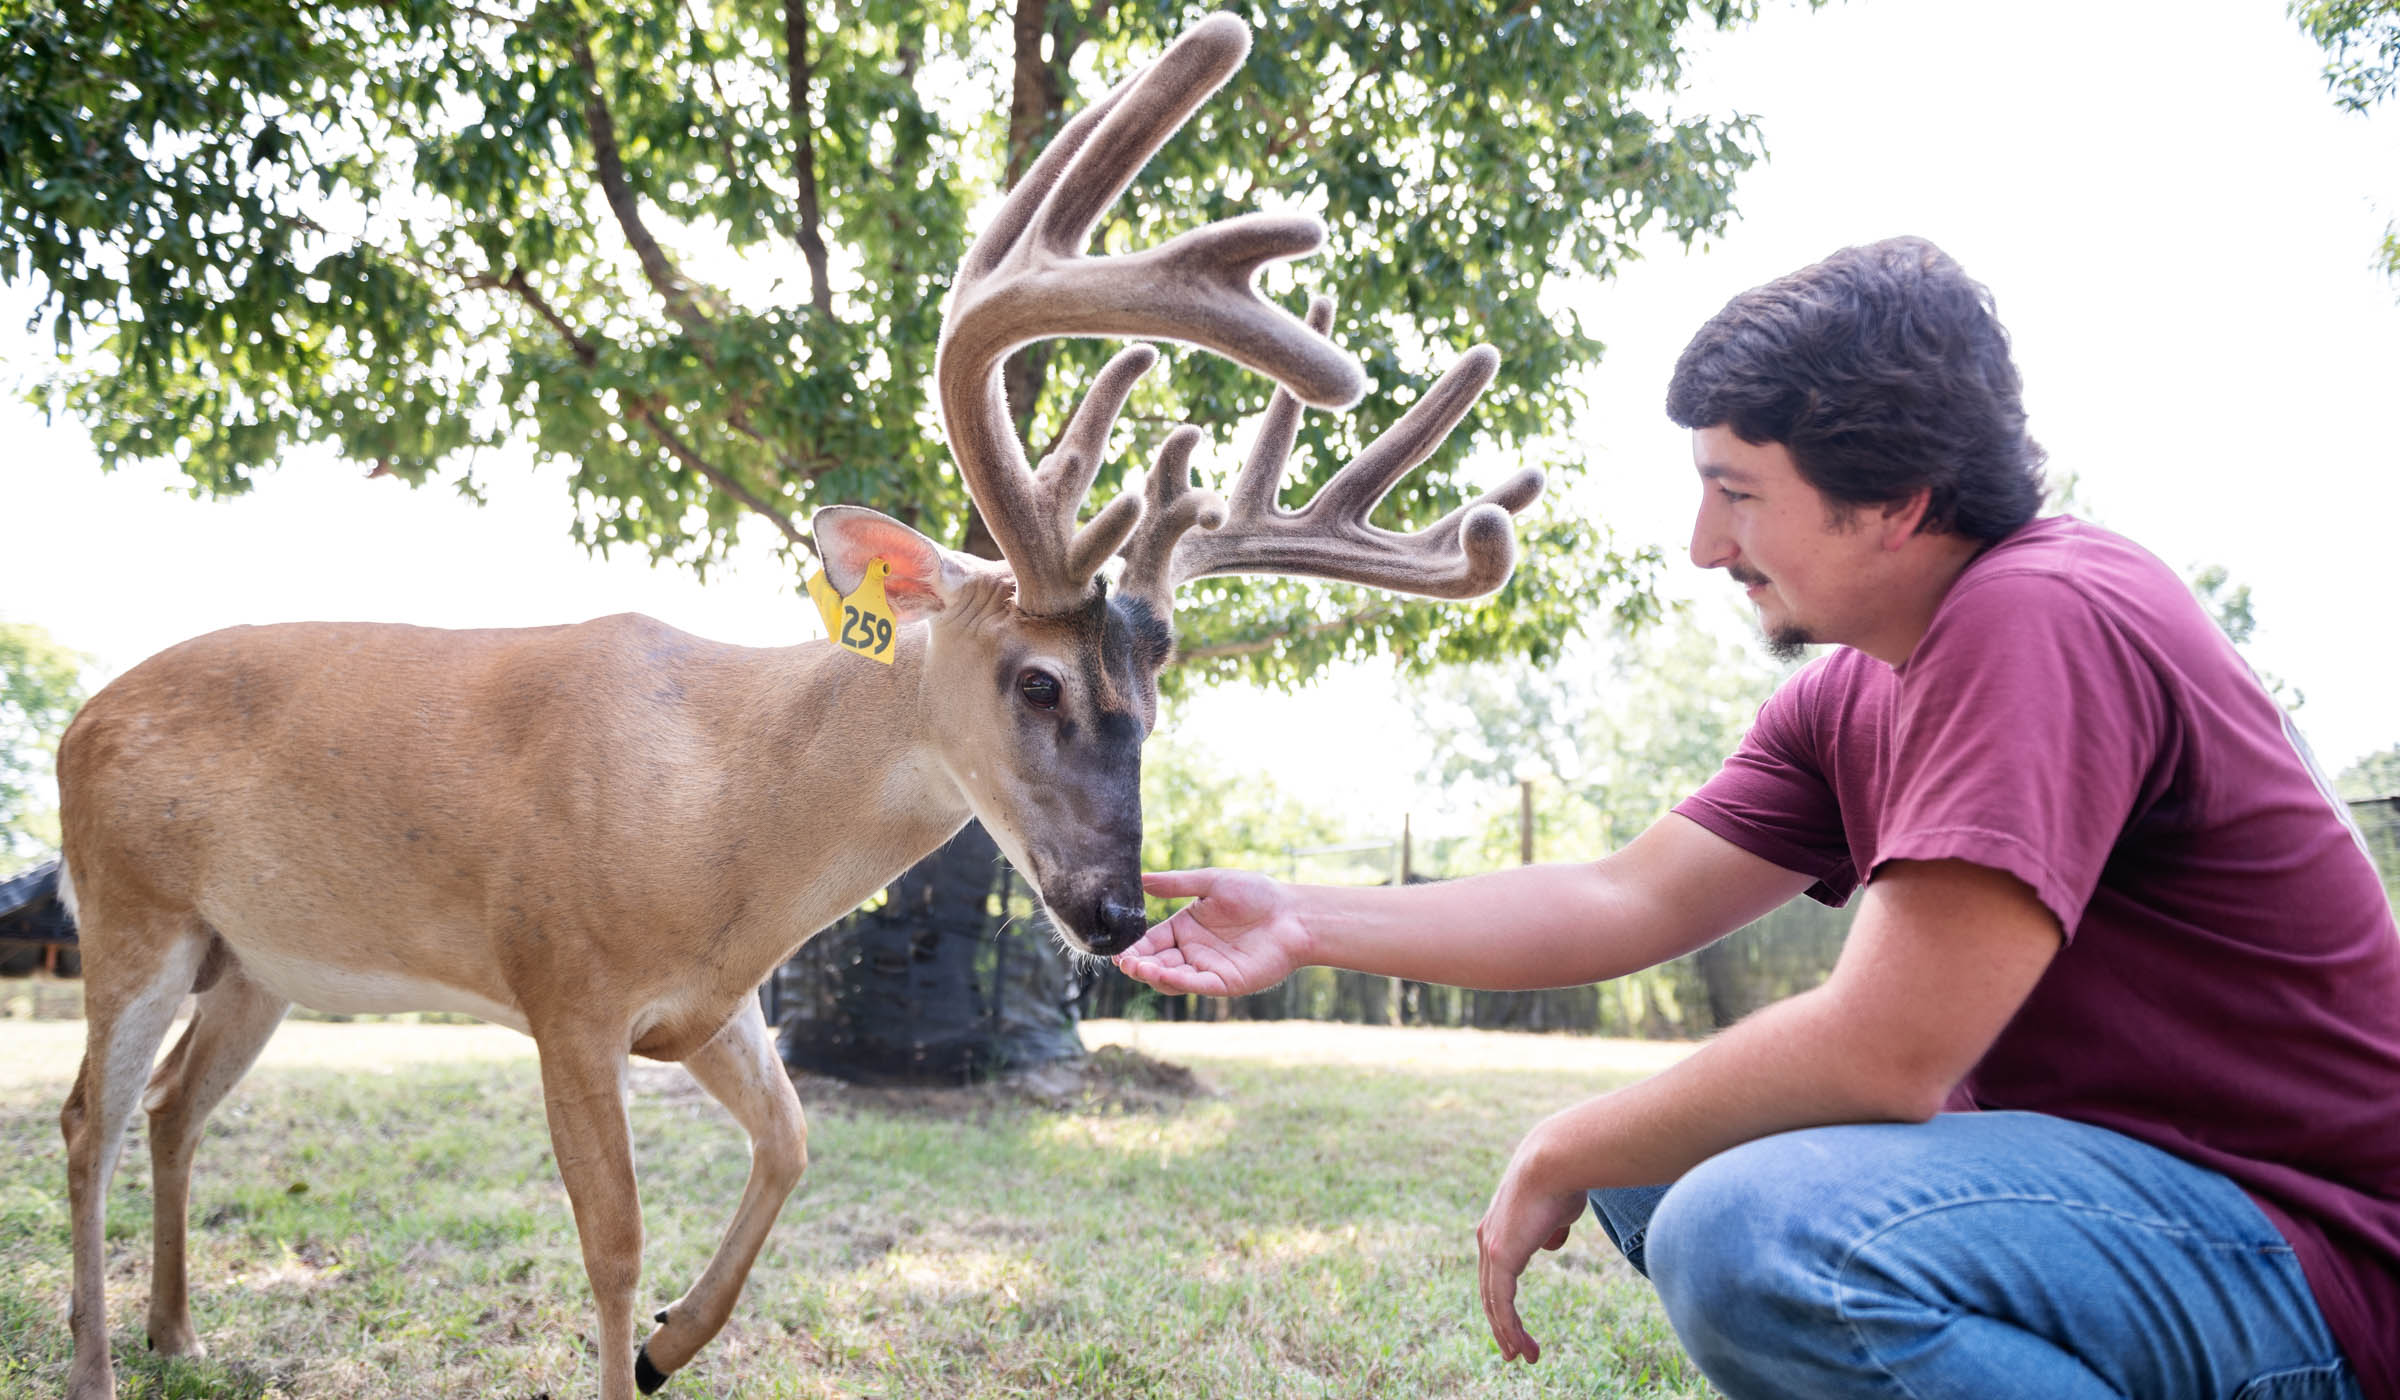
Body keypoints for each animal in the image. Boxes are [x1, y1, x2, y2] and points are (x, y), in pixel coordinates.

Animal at [60, 13, 1555, 1400]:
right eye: (1037, 678)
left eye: (1153, 697)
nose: (1118, 910)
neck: (728, 810)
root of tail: (79, 720)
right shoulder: (562, 980)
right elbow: (612, 1236)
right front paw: (637, 1343)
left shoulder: (712, 1004)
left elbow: (792, 1143)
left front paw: (673, 1342)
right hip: (131, 912)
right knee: (88, 1116)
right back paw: (94, 1361)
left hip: (253, 957)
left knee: (172, 1108)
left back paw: (177, 1328)